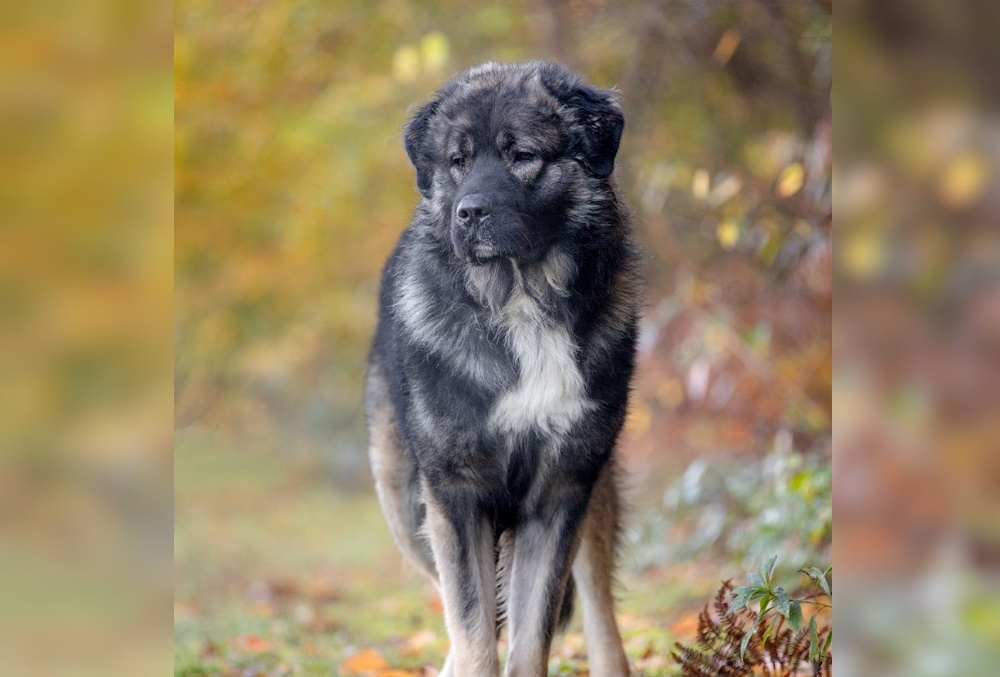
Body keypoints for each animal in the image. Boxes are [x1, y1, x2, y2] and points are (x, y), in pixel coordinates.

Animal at [368, 62, 640, 676]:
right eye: (458, 161)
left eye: (521, 155)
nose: (468, 214)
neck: (520, 301)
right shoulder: (456, 495)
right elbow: (473, 631)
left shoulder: (560, 494)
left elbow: (529, 637)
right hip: (404, 502)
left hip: (593, 496)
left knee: (599, 613)